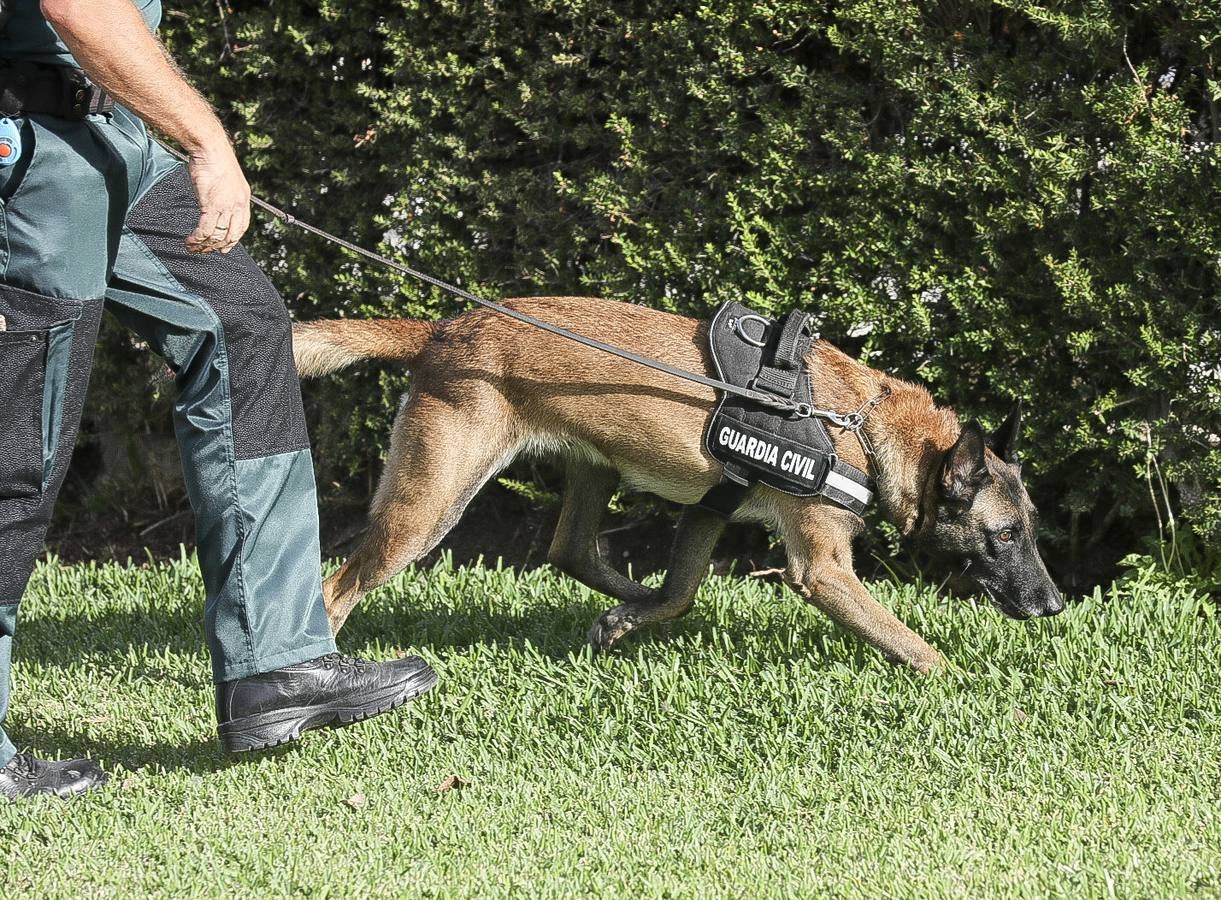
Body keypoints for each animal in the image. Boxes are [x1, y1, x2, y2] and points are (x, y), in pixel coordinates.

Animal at [293, 295, 1059, 669]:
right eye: (1003, 536)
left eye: (1029, 531)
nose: (1053, 605)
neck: (863, 425)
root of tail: (442, 331)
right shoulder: (823, 572)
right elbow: (914, 646)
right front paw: (962, 683)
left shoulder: (708, 512)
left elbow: (683, 592)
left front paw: (634, 617)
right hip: (428, 508)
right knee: (336, 589)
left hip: (593, 469)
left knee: (570, 551)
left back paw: (620, 609)